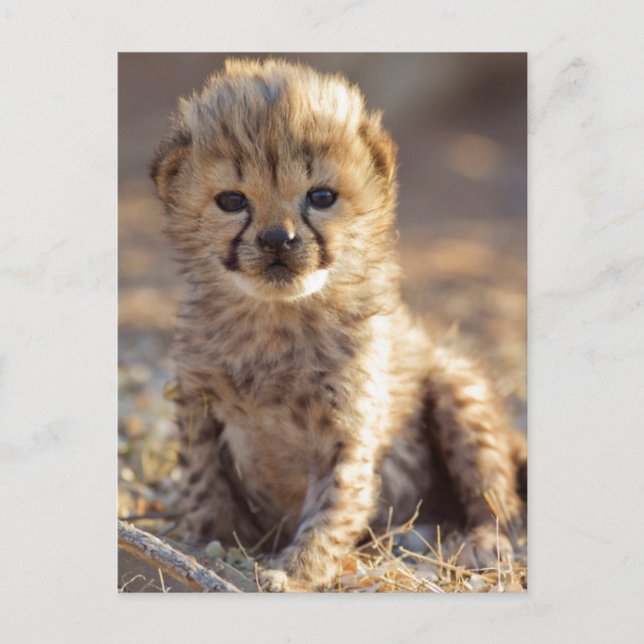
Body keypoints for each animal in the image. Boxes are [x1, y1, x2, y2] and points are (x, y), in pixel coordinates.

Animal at [150, 58, 527, 591]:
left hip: (458, 386)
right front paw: (210, 543)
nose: (277, 240)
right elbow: (204, 485)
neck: (277, 321)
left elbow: (335, 505)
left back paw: (477, 542)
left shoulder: (347, 429)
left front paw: (294, 571)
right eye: (232, 201)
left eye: (321, 196)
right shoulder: (196, 403)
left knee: (497, 495)